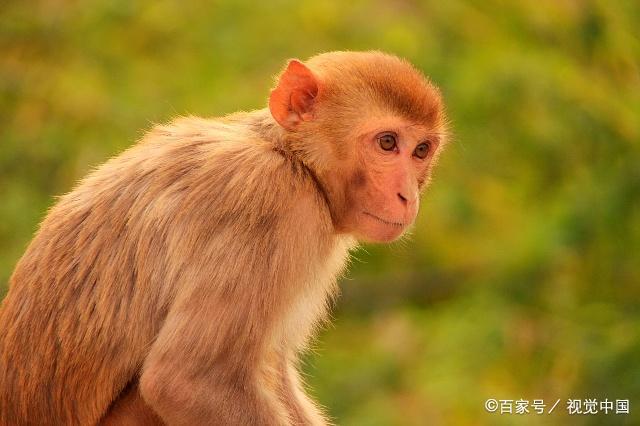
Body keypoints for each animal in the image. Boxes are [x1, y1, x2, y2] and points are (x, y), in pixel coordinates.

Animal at [0, 51, 448, 424]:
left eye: (421, 150)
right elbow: (186, 380)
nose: (408, 196)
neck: (291, 158)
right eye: (387, 143)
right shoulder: (269, 207)